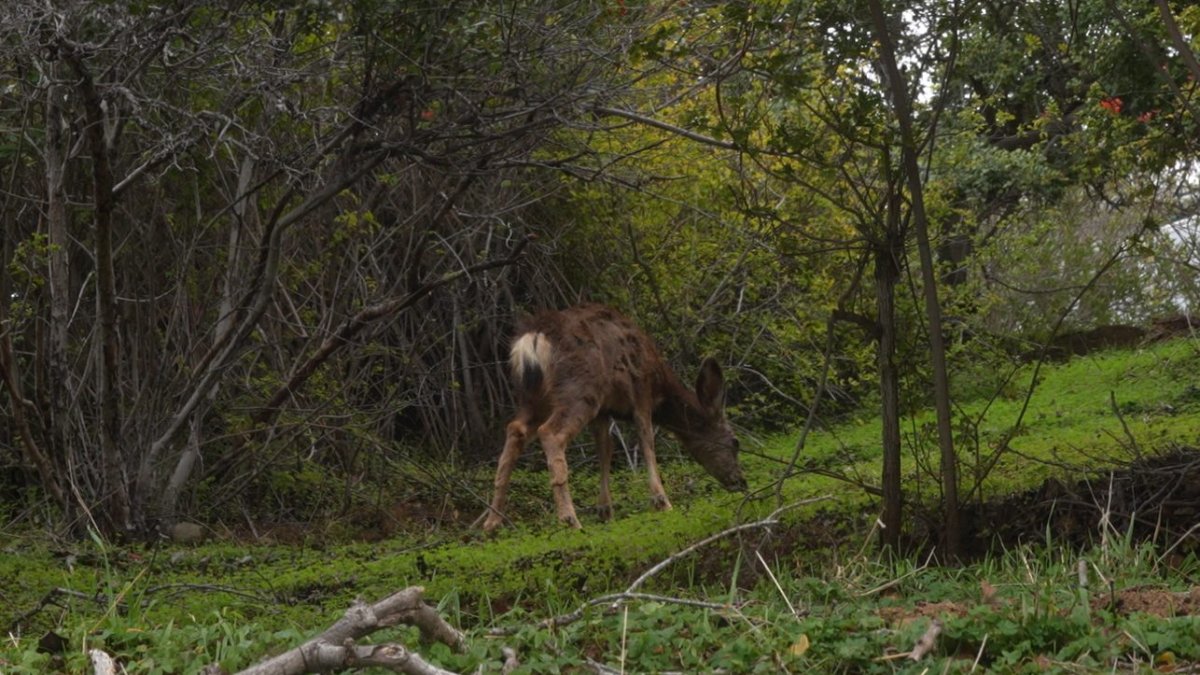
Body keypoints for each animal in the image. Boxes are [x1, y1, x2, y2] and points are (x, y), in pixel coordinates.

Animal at [480, 304, 746, 532]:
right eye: (735, 442)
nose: (740, 482)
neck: (660, 385)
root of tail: (533, 339)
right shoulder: (641, 393)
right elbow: (647, 441)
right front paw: (662, 501)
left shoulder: (603, 411)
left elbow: (605, 449)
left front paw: (605, 510)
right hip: (580, 389)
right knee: (551, 433)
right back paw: (570, 519)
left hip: (533, 398)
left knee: (515, 429)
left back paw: (492, 522)